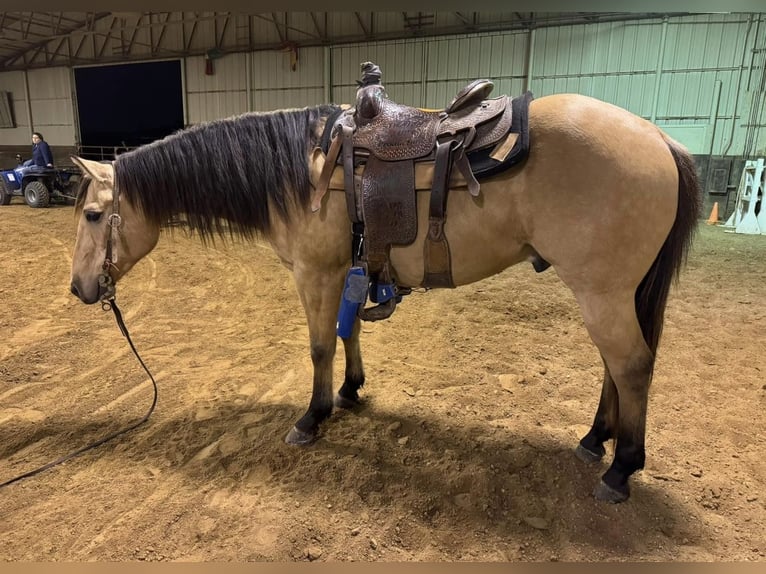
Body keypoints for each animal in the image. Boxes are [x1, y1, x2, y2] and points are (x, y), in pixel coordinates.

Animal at [69, 66, 704, 504]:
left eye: (94, 215)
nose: (78, 289)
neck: (301, 171)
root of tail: (657, 138)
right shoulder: (348, 271)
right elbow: (349, 334)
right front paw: (351, 391)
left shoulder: (316, 274)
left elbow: (320, 345)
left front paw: (313, 416)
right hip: (610, 293)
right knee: (613, 365)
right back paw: (596, 439)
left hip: (602, 293)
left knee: (631, 365)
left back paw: (621, 468)